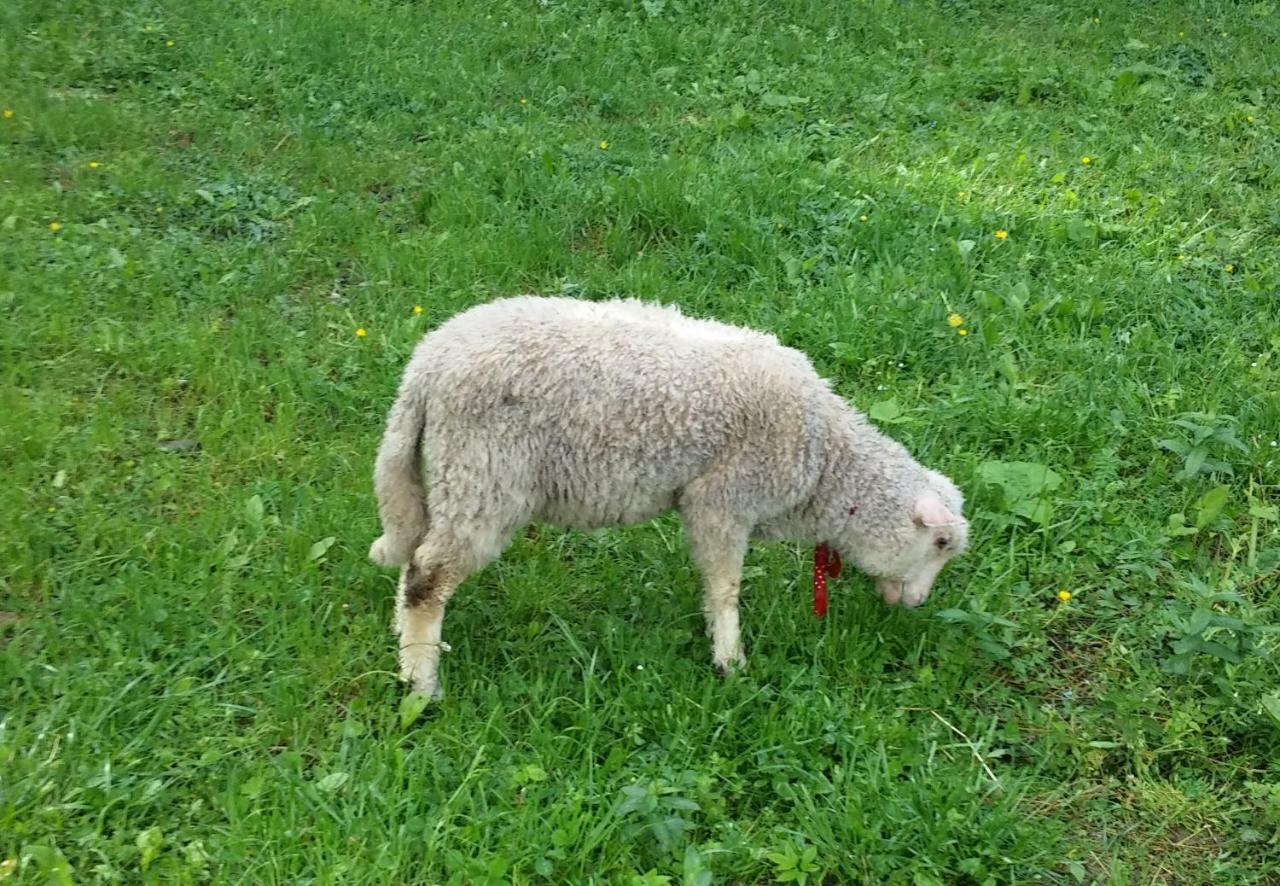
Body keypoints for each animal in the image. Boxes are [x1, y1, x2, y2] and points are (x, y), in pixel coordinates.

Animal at [371, 297, 967, 701]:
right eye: (940, 543)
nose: (917, 604)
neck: (825, 464)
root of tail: (428, 364)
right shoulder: (722, 501)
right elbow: (725, 587)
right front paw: (730, 661)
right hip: (484, 476)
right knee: (428, 575)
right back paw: (421, 685)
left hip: (450, 475)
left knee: (414, 556)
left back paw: (408, 649)